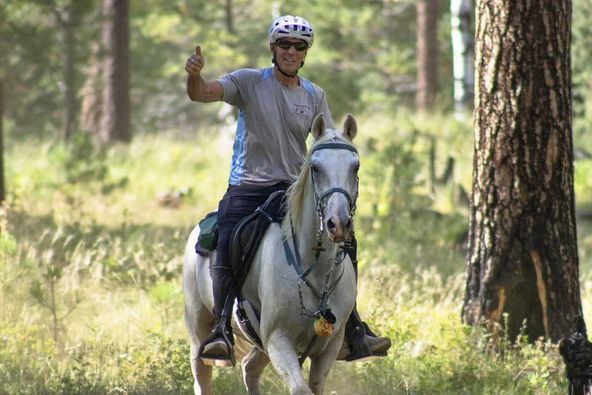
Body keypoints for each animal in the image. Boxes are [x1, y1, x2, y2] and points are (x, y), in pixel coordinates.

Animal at [183, 113, 360, 394]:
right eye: (316, 167)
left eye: (355, 167)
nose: (339, 223)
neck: (313, 266)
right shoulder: (278, 340)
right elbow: (300, 389)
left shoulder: (329, 348)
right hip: (198, 331)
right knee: (202, 376)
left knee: (249, 369)